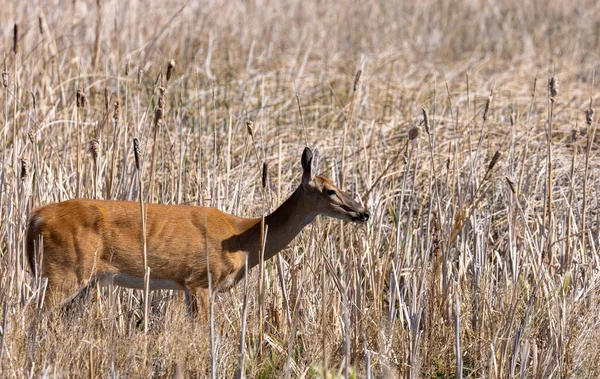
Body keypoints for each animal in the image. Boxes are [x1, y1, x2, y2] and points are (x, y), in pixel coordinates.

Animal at [27, 147, 370, 316]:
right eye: (330, 191)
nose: (363, 212)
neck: (243, 238)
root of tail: (37, 217)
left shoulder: (188, 287)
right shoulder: (202, 280)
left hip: (81, 279)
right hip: (64, 272)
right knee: (33, 316)